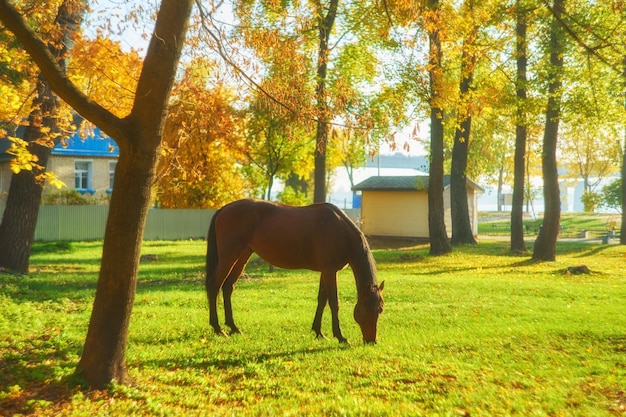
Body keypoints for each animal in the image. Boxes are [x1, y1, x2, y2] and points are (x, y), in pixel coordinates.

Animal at [205, 200, 382, 342]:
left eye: (380, 309)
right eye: (366, 310)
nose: (371, 340)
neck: (339, 229)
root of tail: (224, 209)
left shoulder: (325, 272)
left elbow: (322, 300)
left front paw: (318, 332)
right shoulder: (330, 271)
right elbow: (333, 303)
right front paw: (340, 336)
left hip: (242, 256)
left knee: (228, 287)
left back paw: (233, 327)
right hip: (229, 256)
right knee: (214, 286)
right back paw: (218, 328)